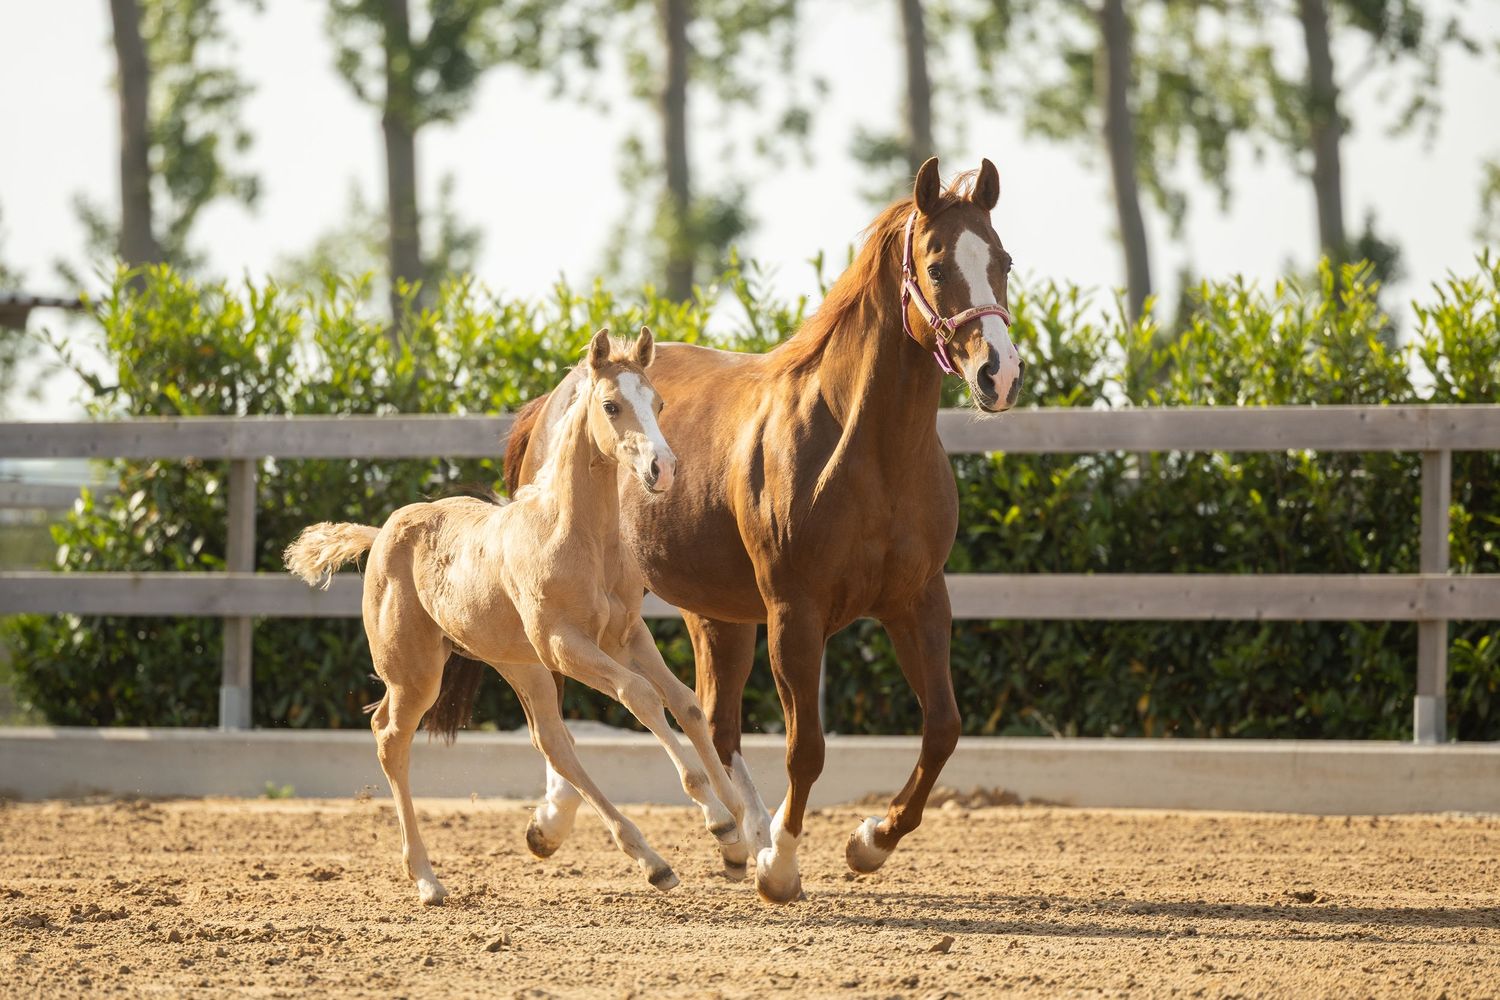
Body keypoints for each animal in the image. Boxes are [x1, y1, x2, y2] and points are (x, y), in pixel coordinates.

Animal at [283, 328, 744, 905]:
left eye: (658, 403)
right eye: (611, 406)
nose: (664, 470)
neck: (574, 536)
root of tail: (383, 530)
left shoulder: (625, 636)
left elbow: (685, 703)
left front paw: (739, 830)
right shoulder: (565, 644)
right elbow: (640, 696)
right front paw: (718, 818)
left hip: (518, 665)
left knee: (553, 742)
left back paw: (653, 862)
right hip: (418, 672)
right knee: (390, 736)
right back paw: (427, 879)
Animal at [450, 156, 1023, 903]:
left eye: (1003, 261)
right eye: (934, 263)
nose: (999, 374)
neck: (864, 449)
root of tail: (558, 394)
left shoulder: (918, 599)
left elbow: (943, 730)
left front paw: (868, 841)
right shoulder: (793, 610)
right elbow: (805, 746)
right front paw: (781, 865)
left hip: (714, 615)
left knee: (713, 722)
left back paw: (732, 834)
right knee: (571, 693)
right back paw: (570, 820)